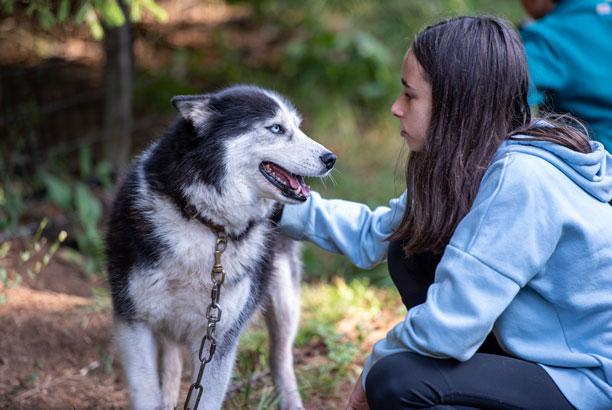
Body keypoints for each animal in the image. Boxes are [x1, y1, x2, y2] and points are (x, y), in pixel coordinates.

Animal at [105, 85, 334, 408]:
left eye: (298, 127)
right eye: (276, 128)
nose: (331, 159)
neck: (205, 224)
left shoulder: (220, 338)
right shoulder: (133, 322)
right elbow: (147, 393)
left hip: (284, 300)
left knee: (280, 358)